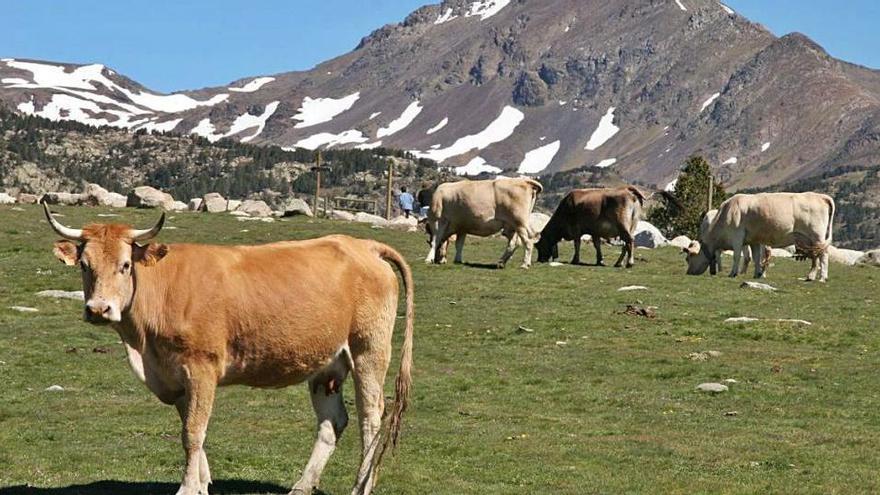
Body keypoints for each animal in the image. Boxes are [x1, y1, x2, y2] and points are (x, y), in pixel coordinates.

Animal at [45, 204, 420, 495]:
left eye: (125, 265)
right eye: (85, 265)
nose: (98, 309)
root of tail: (364, 245)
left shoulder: (202, 367)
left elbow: (192, 432)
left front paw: (187, 487)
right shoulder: (176, 377)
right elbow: (192, 428)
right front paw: (202, 484)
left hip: (369, 349)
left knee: (371, 416)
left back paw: (361, 485)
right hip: (326, 363)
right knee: (333, 421)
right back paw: (302, 485)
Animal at [684, 192, 836, 280]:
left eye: (688, 258)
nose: (688, 272)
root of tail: (821, 196)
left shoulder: (737, 236)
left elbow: (736, 256)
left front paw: (733, 273)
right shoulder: (754, 240)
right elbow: (757, 257)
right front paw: (757, 274)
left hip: (817, 235)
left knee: (823, 255)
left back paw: (822, 277)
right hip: (809, 240)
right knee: (815, 257)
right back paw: (811, 276)